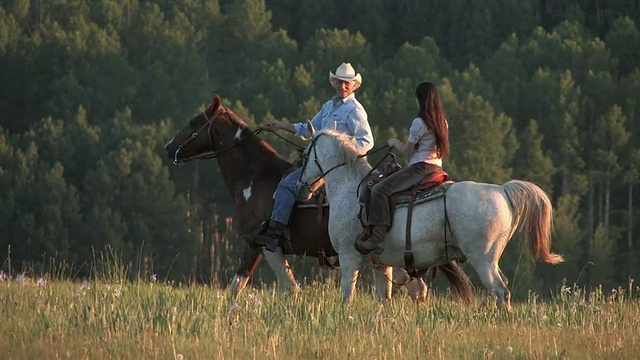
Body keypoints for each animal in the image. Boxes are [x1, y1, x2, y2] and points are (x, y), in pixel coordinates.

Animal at [298, 130, 564, 310]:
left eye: (305, 156)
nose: (302, 189)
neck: (351, 189)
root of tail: (502, 190)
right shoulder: (380, 265)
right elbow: (383, 299)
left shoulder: (349, 258)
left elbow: (347, 297)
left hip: (483, 260)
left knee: (501, 291)